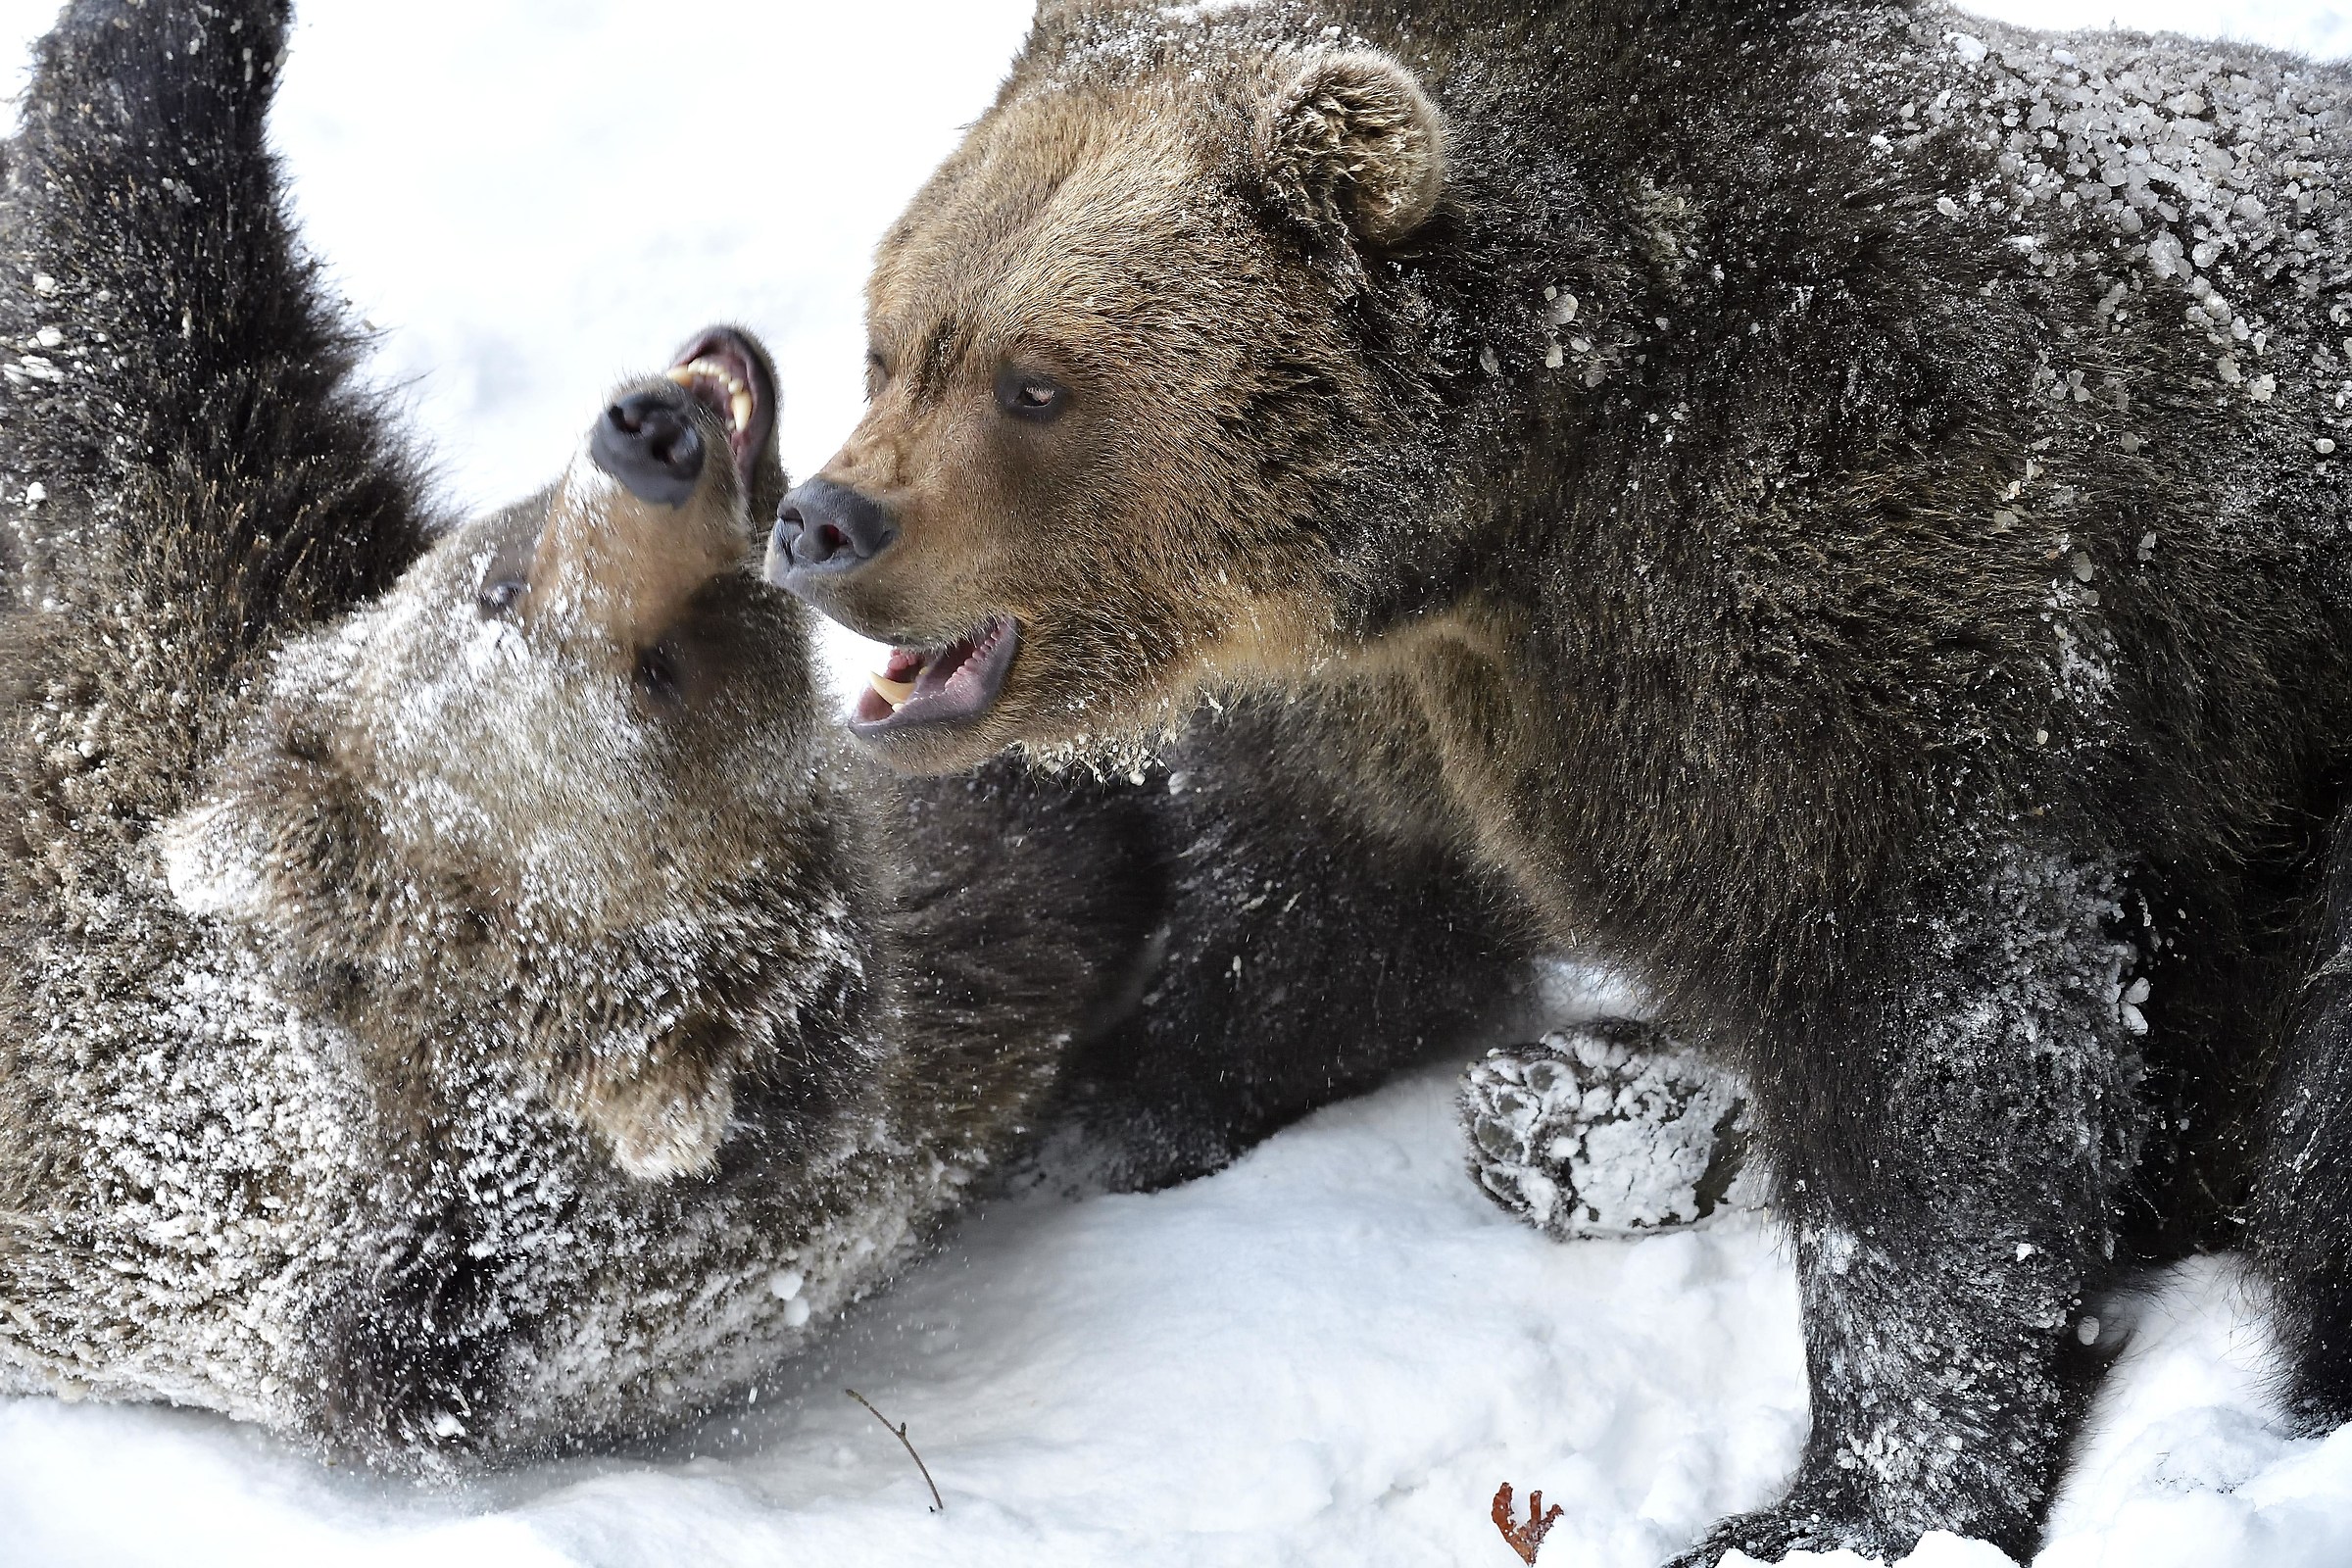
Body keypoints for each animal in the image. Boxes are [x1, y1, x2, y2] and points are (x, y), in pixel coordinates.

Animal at [769, 1, 2352, 1560]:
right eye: (894, 343)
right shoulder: (1392, 713)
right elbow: (1317, 933)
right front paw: (1090, 1125)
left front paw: (1841, 1501)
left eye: (1034, 379)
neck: (1515, 493)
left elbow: (1934, 1049)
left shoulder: (1846, 587)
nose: (820, 519)